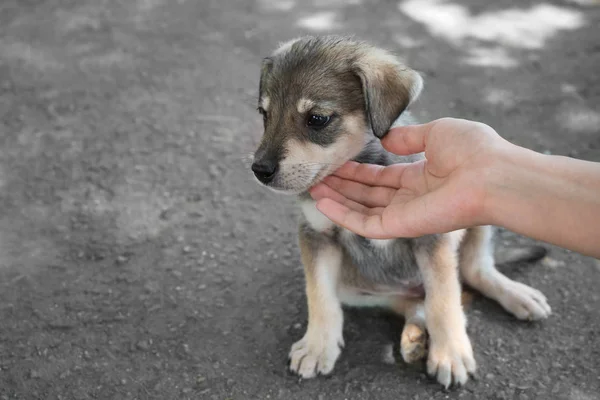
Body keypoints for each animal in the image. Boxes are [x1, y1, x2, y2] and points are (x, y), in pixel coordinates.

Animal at [250, 36, 552, 390]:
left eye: (317, 119)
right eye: (264, 114)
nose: (260, 170)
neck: (363, 159)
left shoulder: (434, 237)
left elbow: (443, 299)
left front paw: (450, 354)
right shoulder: (317, 236)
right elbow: (320, 296)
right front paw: (317, 346)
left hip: (480, 212)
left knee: (474, 271)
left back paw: (515, 295)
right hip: (355, 287)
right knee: (410, 301)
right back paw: (414, 337)